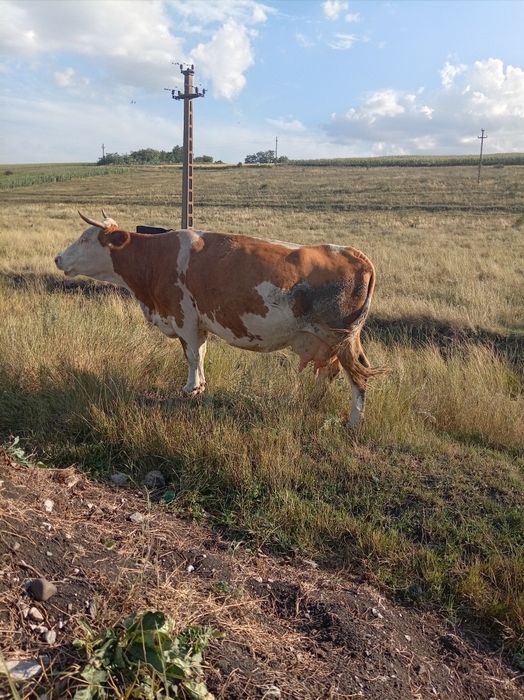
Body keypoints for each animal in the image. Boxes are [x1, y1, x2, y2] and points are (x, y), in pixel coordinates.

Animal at [55, 212, 384, 427]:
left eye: (85, 239)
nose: (57, 258)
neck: (155, 259)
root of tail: (356, 254)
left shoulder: (183, 316)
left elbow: (190, 355)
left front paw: (190, 389)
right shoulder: (199, 321)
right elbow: (200, 353)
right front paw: (200, 386)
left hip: (341, 338)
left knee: (357, 377)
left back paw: (355, 422)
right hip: (325, 341)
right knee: (329, 372)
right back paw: (311, 403)